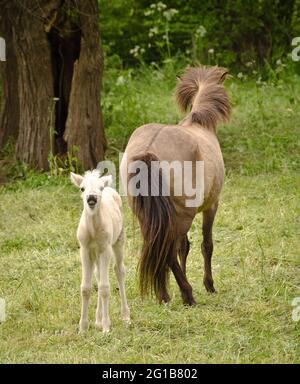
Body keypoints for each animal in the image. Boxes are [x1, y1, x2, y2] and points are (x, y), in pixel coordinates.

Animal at [71, 170, 131, 332]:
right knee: (98, 275)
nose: (91, 198)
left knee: (119, 270)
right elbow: (85, 288)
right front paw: (83, 328)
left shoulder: (105, 249)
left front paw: (106, 327)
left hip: (119, 240)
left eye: (100, 188)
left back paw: (125, 316)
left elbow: (104, 287)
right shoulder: (85, 249)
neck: (93, 230)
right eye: (82, 188)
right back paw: (97, 319)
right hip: (95, 253)